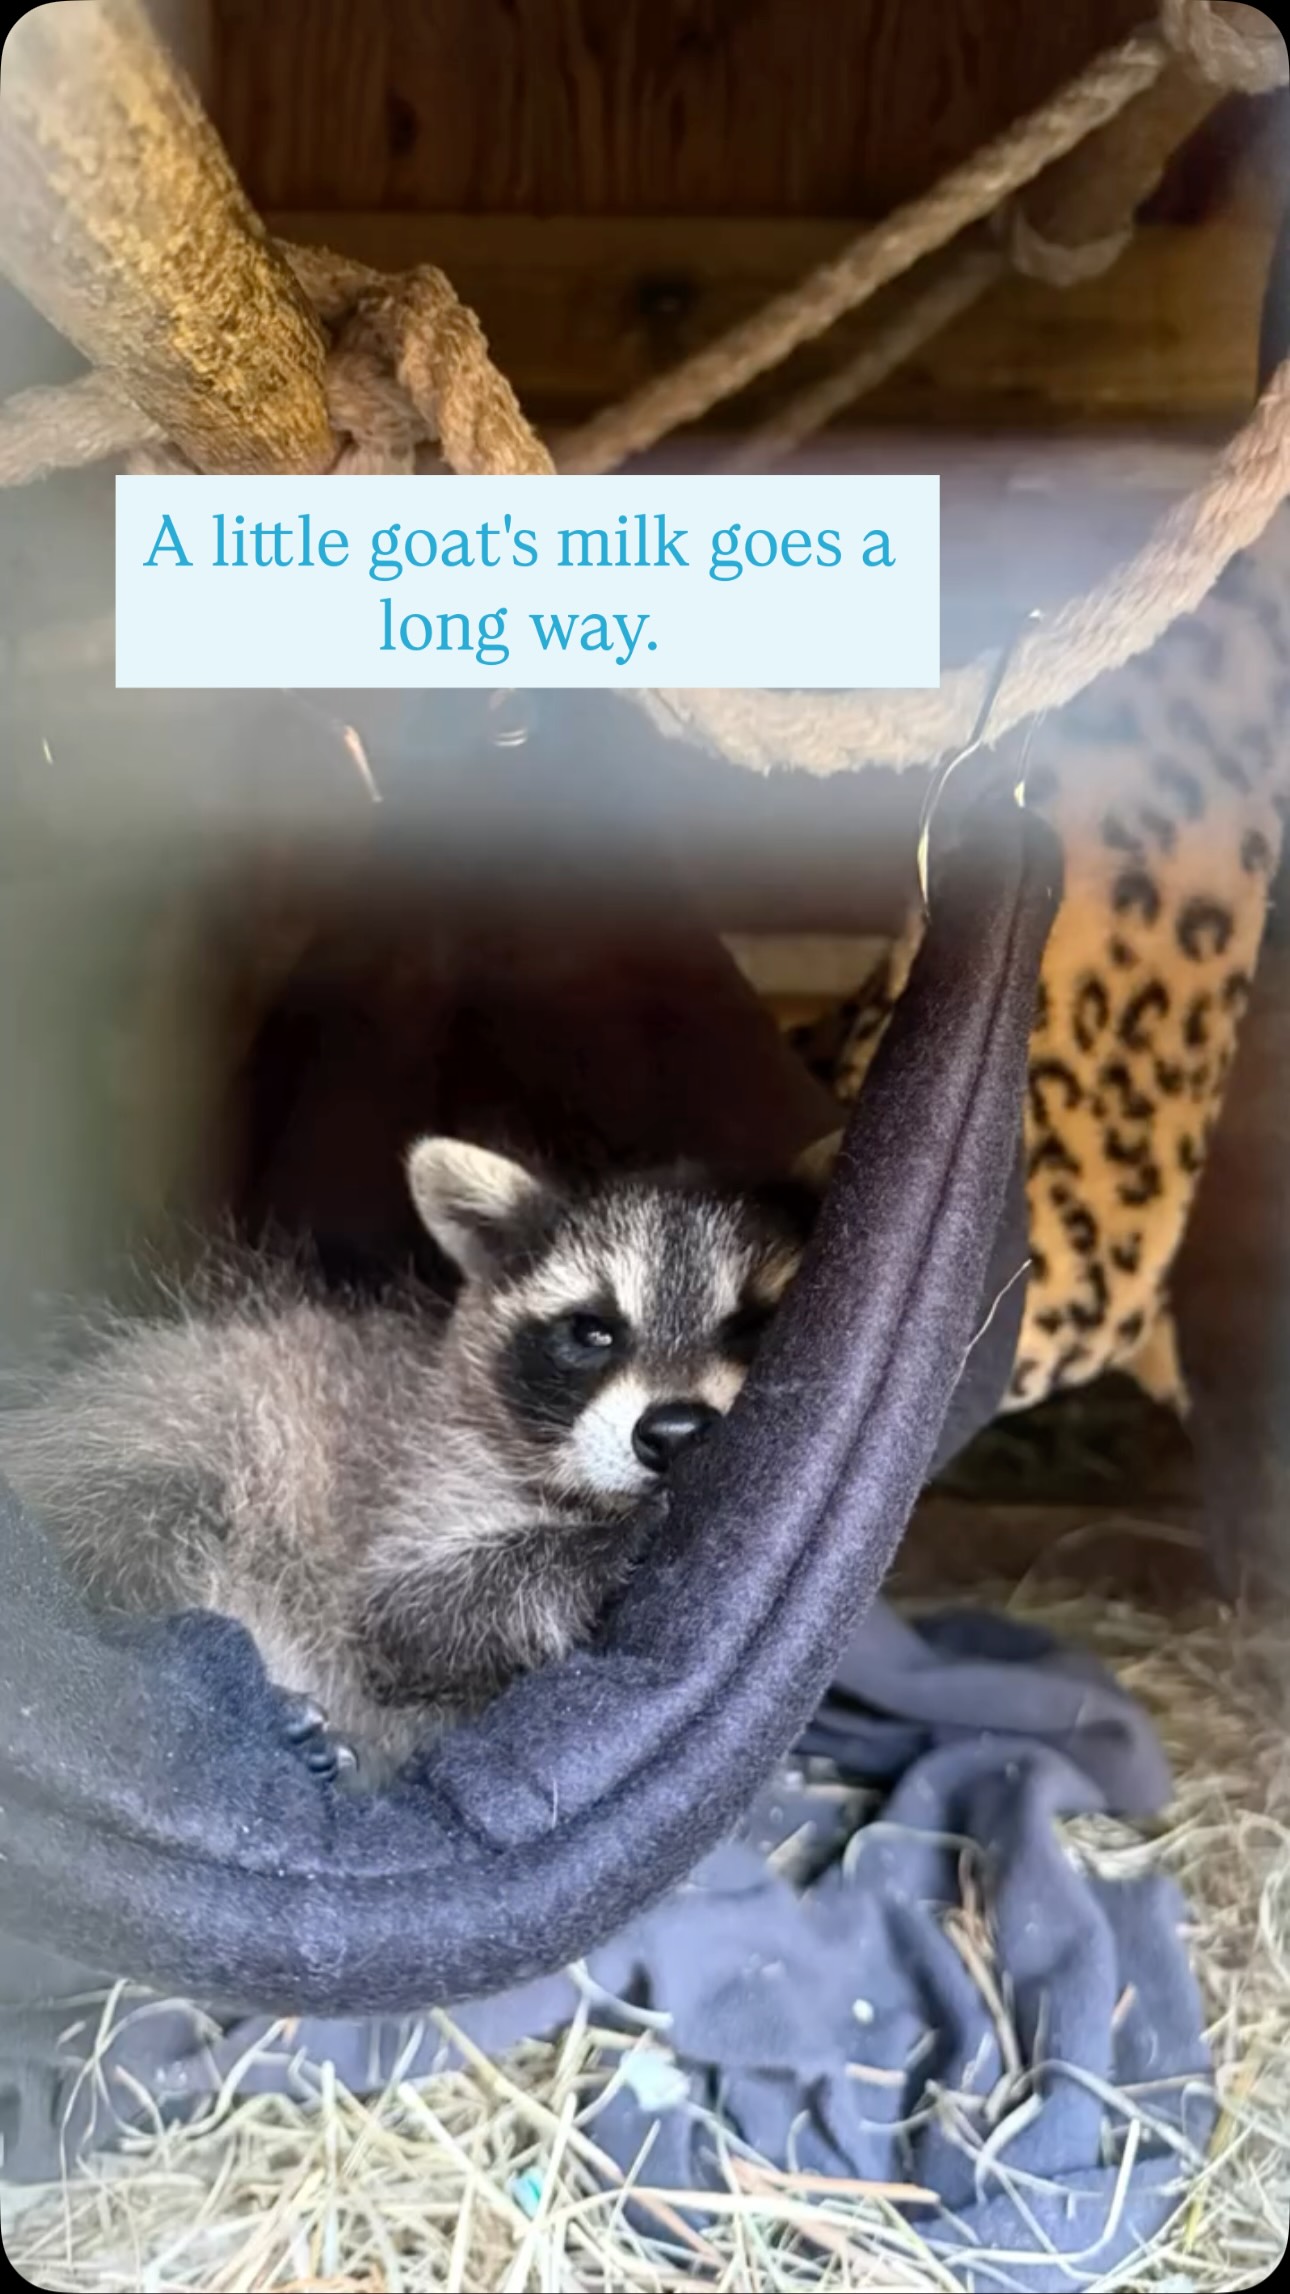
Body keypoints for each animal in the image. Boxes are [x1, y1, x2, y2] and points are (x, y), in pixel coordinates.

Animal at [0, 1137, 825, 1787]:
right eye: (592, 1331)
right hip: (154, 1452)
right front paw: (603, 1548)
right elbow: (414, 1608)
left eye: (756, 1324)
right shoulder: (419, 1474)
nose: (675, 1432)